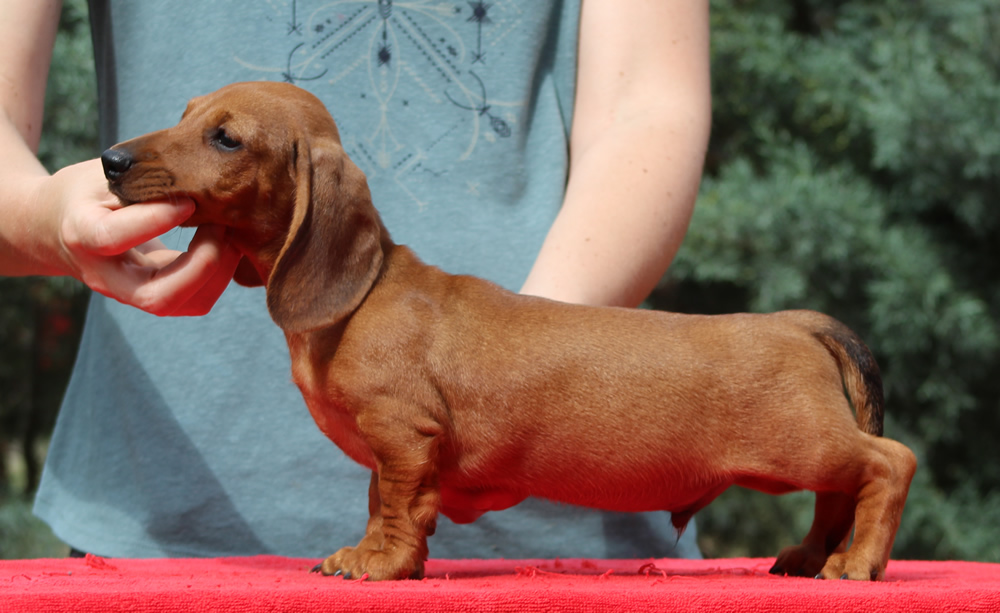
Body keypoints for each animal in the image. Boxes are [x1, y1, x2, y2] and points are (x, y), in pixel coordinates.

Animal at [99, 81, 916, 580]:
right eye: (184, 112)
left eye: (227, 139)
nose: (110, 160)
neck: (363, 296)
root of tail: (797, 322)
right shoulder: (389, 448)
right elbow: (380, 501)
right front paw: (369, 552)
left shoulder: (404, 435)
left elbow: (398, 507)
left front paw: (380, 563)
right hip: (807, 452)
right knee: (839, 493)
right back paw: (809, 556)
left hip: (802, 442)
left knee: (889, 464)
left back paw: (856, 563)